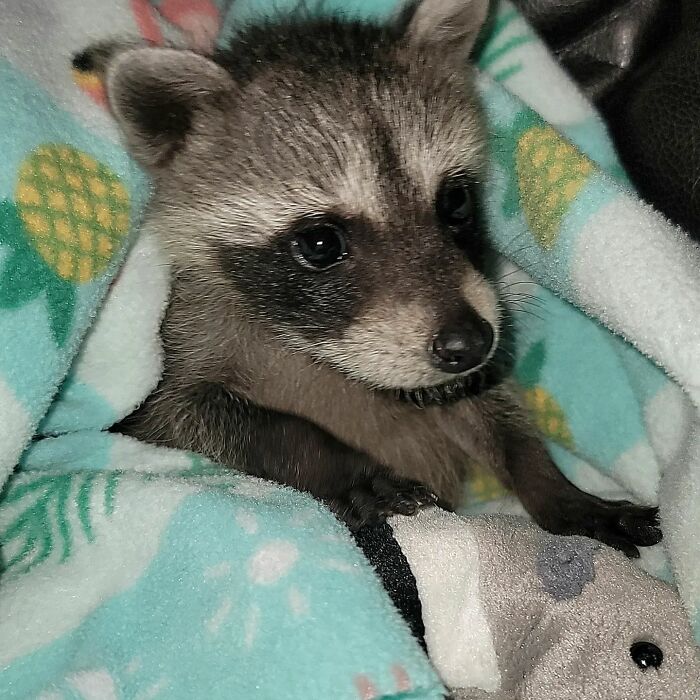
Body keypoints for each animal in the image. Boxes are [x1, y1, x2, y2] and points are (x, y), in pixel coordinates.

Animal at [85, 0, 660, 555]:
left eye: (455, 201)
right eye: (320, 243)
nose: (470, 343)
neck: (312, 352)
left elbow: (490, 411)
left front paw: (547, 481)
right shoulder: (172, 362)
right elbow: (191, 416)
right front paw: (333, 460)